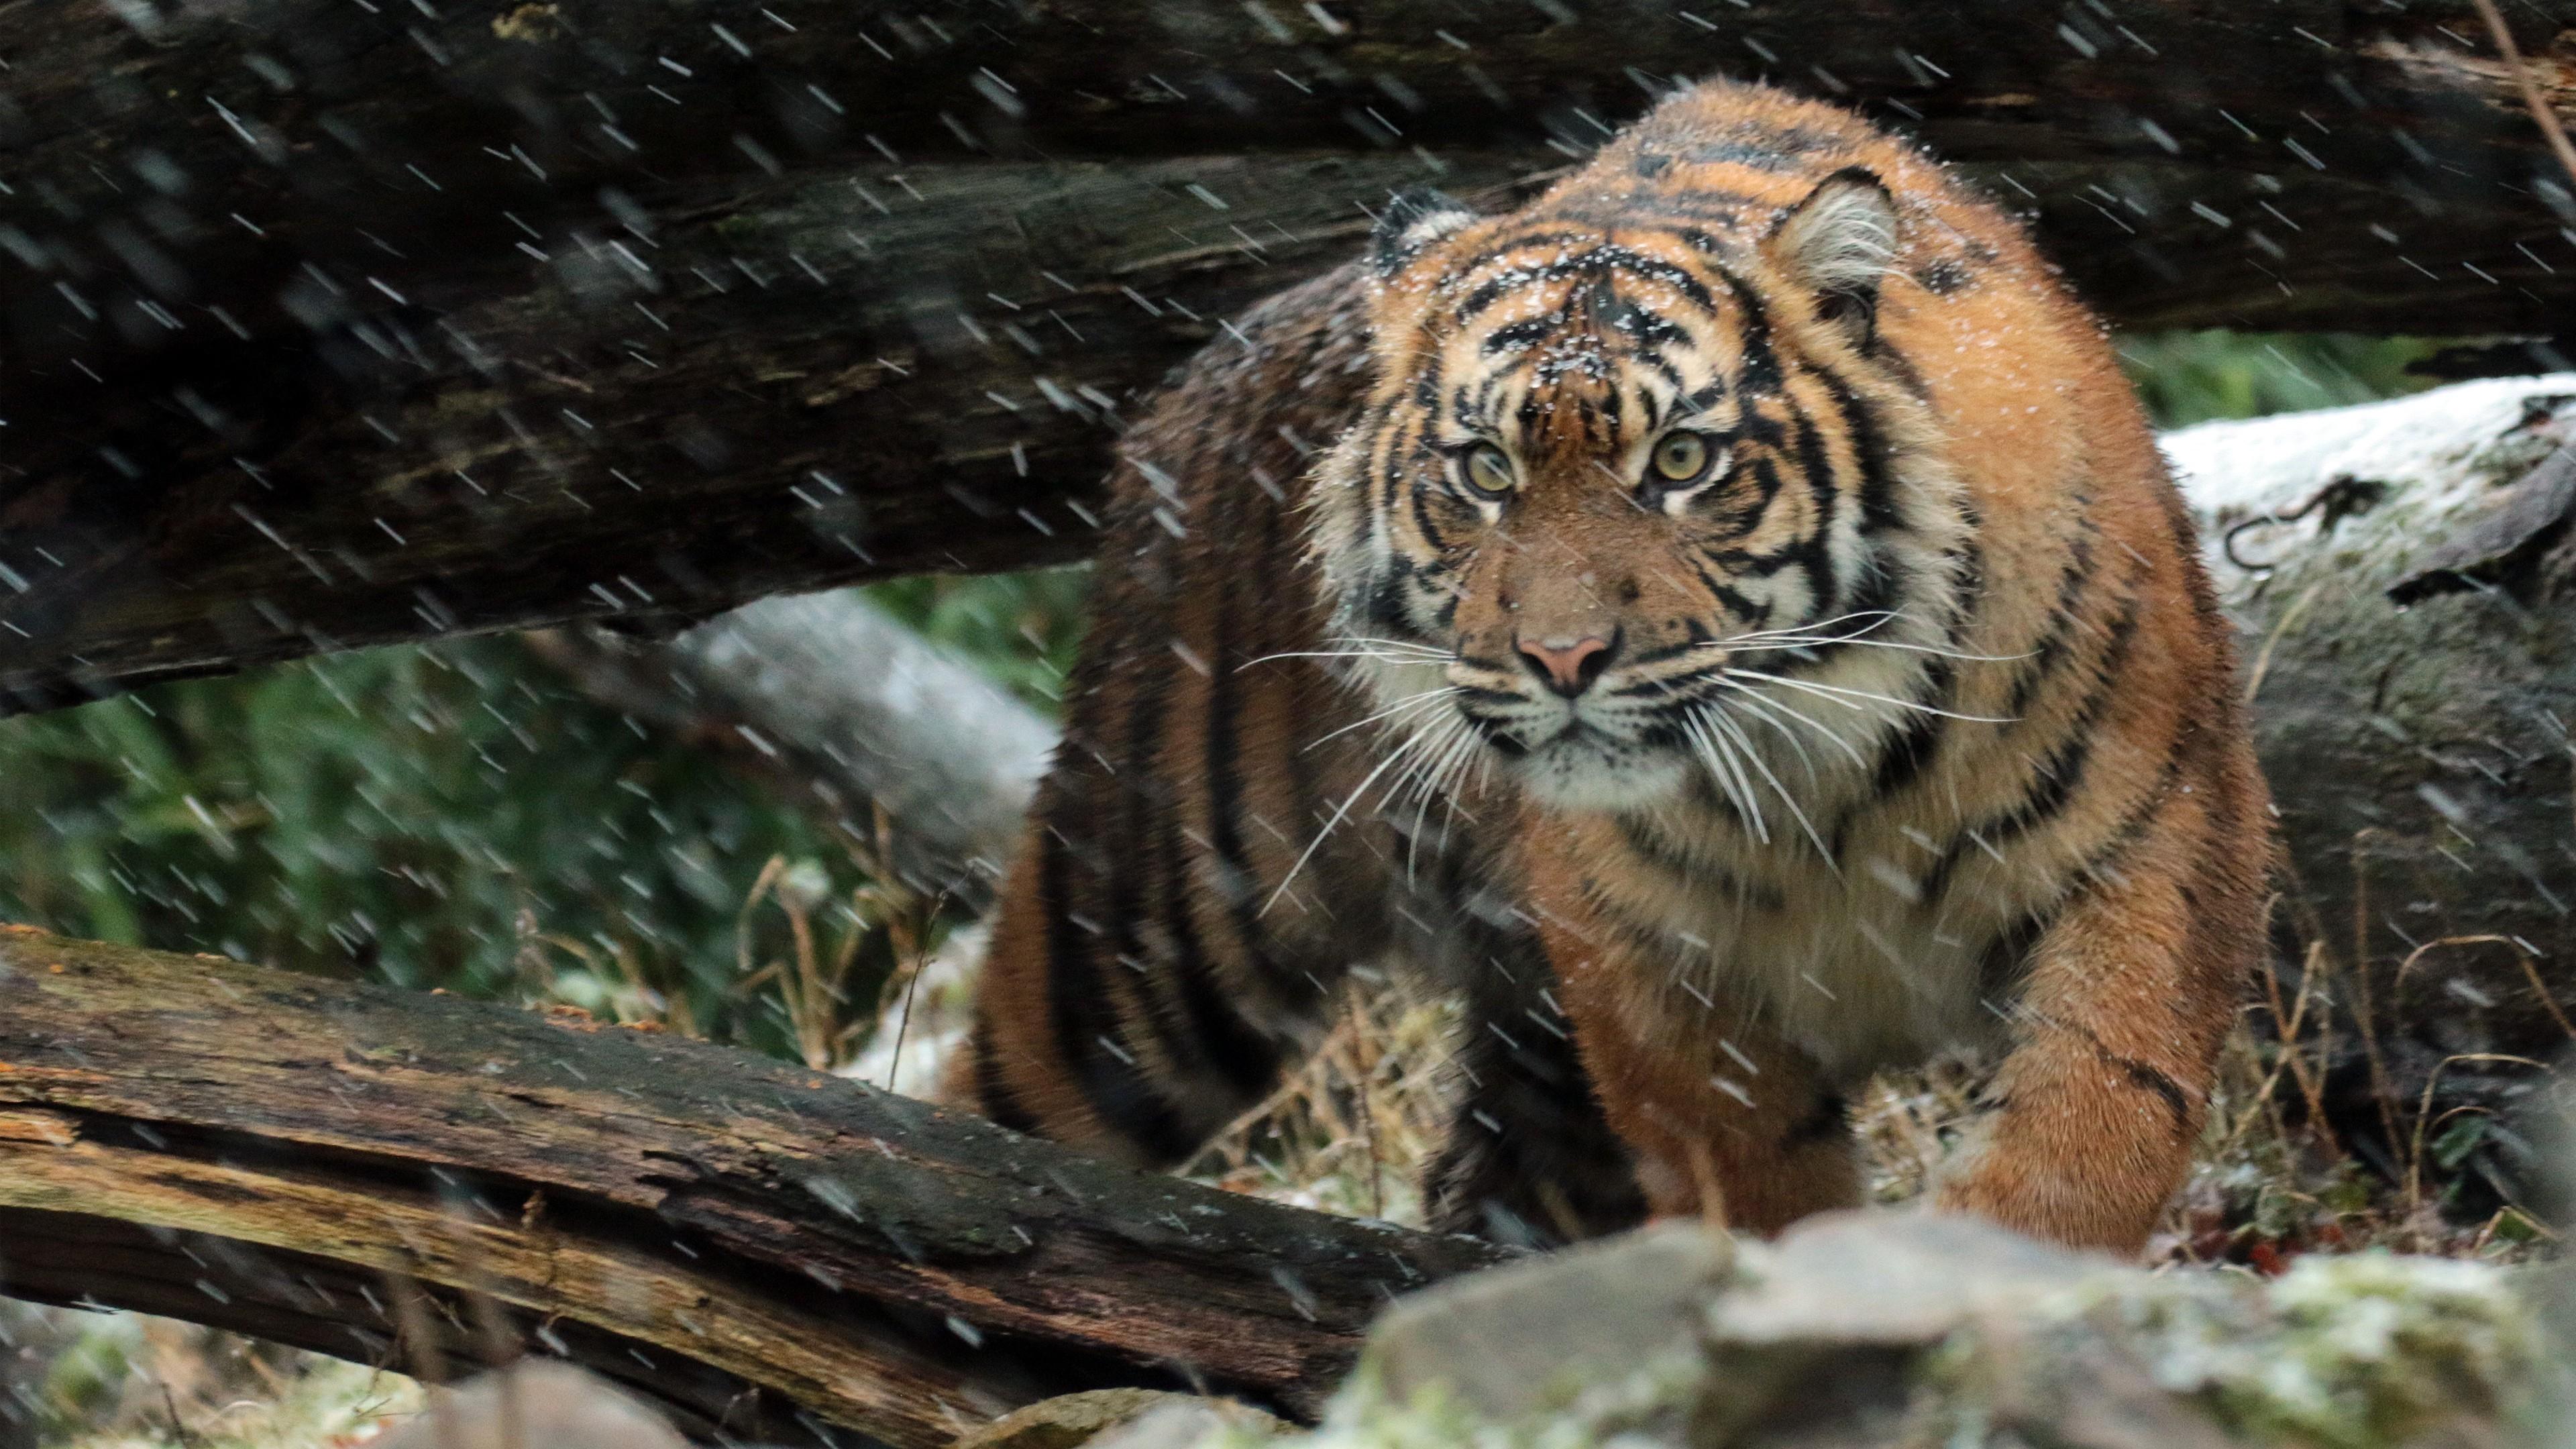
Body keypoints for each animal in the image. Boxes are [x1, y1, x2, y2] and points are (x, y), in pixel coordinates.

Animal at [945, 76, 2271, 1256]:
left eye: (1680, 461)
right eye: (1485, 472)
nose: (1563, 656)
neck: (1825, 783)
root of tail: (1187, 378)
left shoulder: (2160, 839)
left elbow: (2090, 1129)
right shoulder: (1638, 959)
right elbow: (1752, 1171)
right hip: (1150, 931)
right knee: (990, 1113)